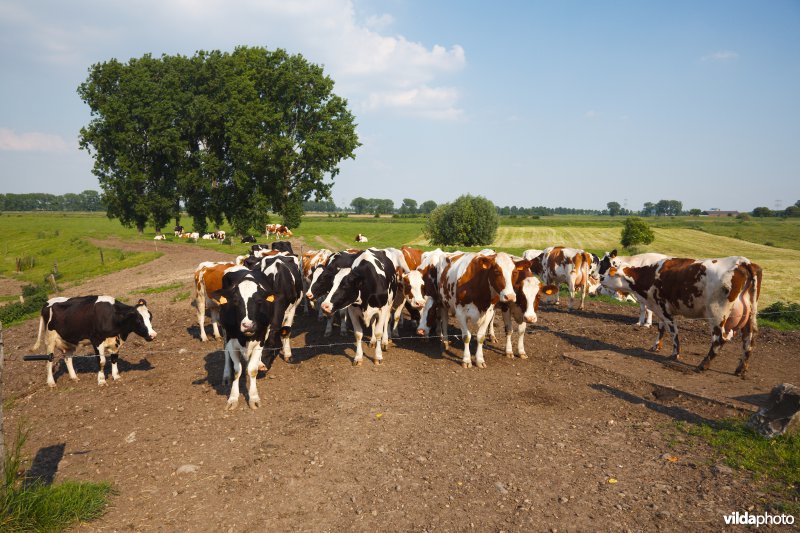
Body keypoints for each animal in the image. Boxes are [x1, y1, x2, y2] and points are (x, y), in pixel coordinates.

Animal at [601, 256, 762, 377]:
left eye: (611, 273)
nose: (600, 278)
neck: (650, 276)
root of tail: (743, 261)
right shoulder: (658, 308)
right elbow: (661, 329)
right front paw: (656, 346)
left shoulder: (665, 308)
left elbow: (673, 332)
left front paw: (675, 354)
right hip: (749, 318)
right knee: (749, 339)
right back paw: (741, 369)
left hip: (717, 314)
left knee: (719, 339)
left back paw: (703, 365)